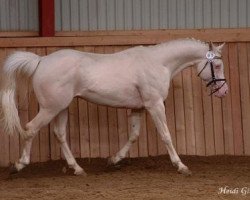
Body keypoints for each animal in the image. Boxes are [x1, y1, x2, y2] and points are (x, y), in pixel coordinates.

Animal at [0, 38, 228, 176]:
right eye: (217, 65)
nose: (224, 91)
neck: (159, 63)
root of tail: (41, 60)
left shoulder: (138, 108)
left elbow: (133, 136)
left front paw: (114, 159)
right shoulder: (154, 105)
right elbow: (166, 135)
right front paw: (181, 166)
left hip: (60, 107)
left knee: (59, 134)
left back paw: (77, 169)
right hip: (50, 108)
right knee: (30, 128)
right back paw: (19, 164)